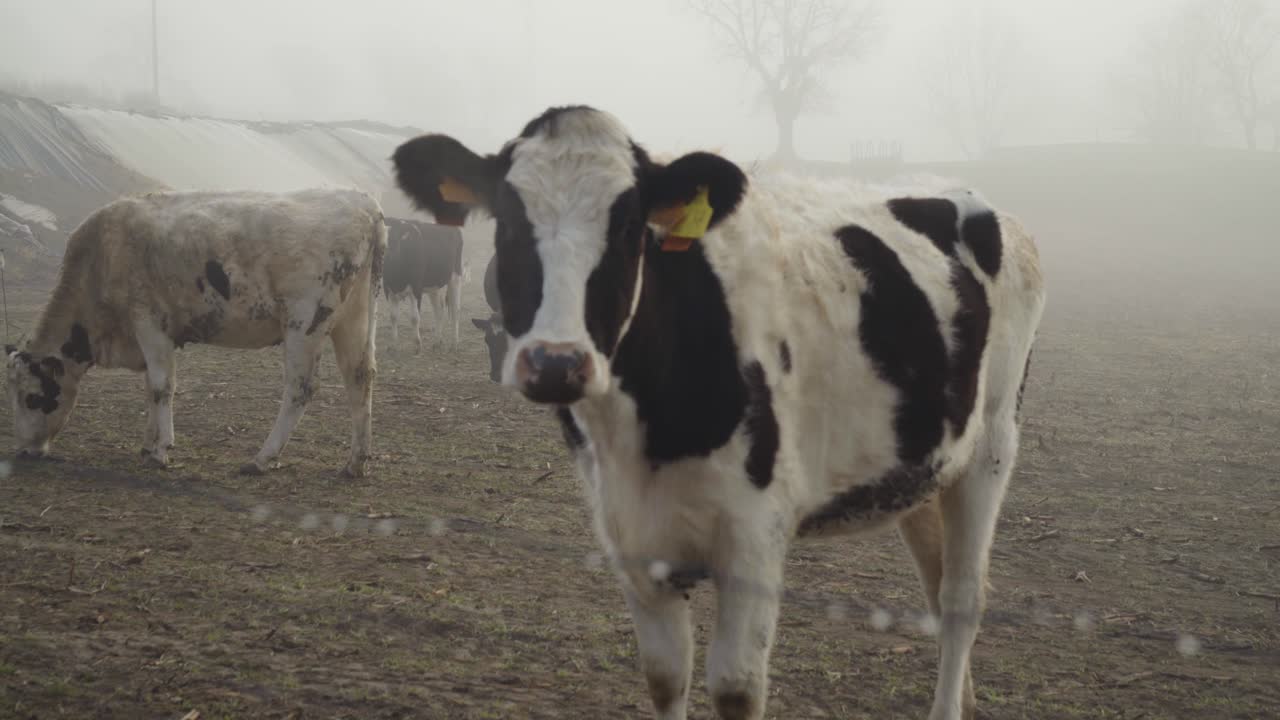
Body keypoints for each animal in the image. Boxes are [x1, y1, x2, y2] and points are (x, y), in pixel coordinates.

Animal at [5, 189, 385, 478]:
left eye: (31, 397)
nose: (22, 449)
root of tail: (361, 200)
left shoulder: (149, 321)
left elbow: (162, 386)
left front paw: (161, 450)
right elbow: (150, 387)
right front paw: (147, 445)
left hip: (304, 322)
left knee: (300, 388)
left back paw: (263, 458)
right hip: (354, 319)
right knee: (359, 378)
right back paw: (356, 462)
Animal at [382, 217, 462, 351]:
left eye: (396, 237)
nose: (387, 254)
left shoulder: (416, 288)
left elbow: (414, 318)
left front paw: (417, 345)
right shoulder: (388, 289)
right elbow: (393, 317)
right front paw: (393, 345)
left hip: (455, 275)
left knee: (455, 309)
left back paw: (455, 343)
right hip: (434, 285)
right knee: (439, 310)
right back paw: (437, 341)